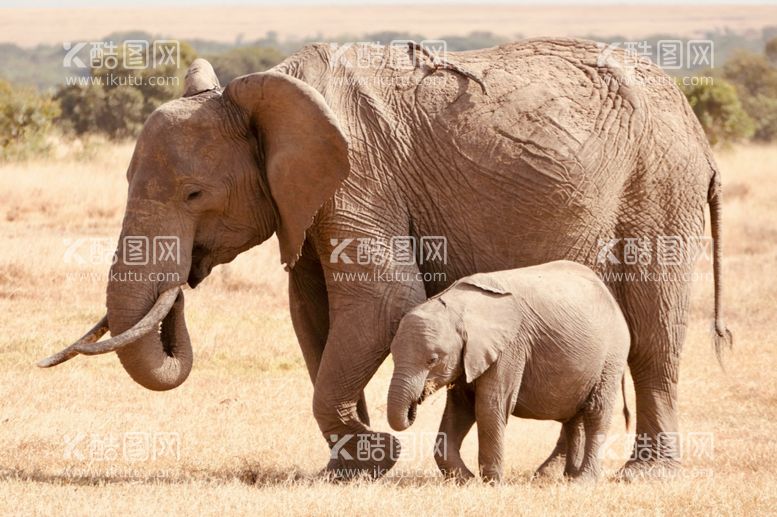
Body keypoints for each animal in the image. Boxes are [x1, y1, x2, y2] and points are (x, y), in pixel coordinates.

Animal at [384, 260, 628, 482]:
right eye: (393, 356)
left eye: (432, 360)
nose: (414, 406)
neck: (459, 307)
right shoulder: (469, 356)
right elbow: (460, 408)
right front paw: (467, 480)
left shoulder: (510, 347)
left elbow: (489, 405)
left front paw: (491, 484)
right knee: (573, 418)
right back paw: (568, 477)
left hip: (612, 355)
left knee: (596, 412)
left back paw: (582, 481)